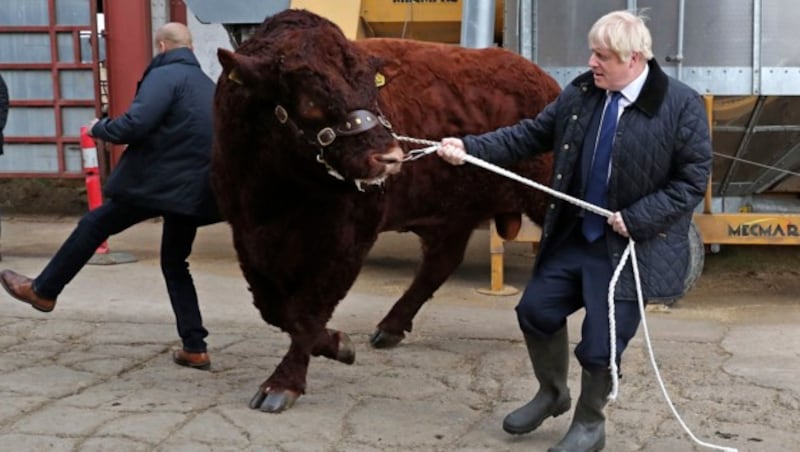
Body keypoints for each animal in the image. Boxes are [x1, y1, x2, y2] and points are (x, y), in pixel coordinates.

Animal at [214, 9, 564, 414]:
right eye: (310, 100)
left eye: (373, 90)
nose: (390, 157)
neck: (276, 193)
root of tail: (541, 78)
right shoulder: (246, 234)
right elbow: (275, 308)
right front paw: (336, 343)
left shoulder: (349, 239)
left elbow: (307, 311)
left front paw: (285, 383)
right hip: (453, 213)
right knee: (439, 264)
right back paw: (391, 327)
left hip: (544, 196)